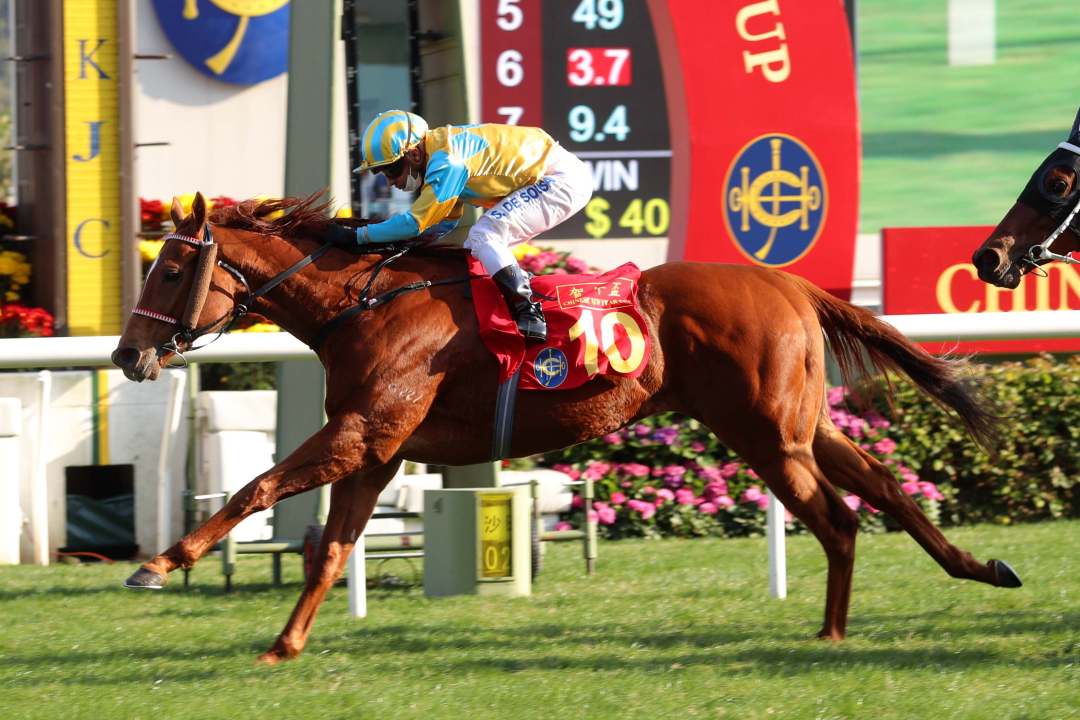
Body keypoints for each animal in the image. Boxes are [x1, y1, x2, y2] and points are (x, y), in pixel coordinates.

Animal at [112, 191, 1021, 664]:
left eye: (171, 266)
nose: (127, 353)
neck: (361, 306)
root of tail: (793, 283)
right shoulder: (376, 449)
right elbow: (330, 551)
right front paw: (283, 645)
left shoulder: (359, 435)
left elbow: (255, 488)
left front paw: (160, 563)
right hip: (795, 426)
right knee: (884, 488)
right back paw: (979, 568)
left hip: (765, 434)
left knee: (836, 515)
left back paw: (832, 630)